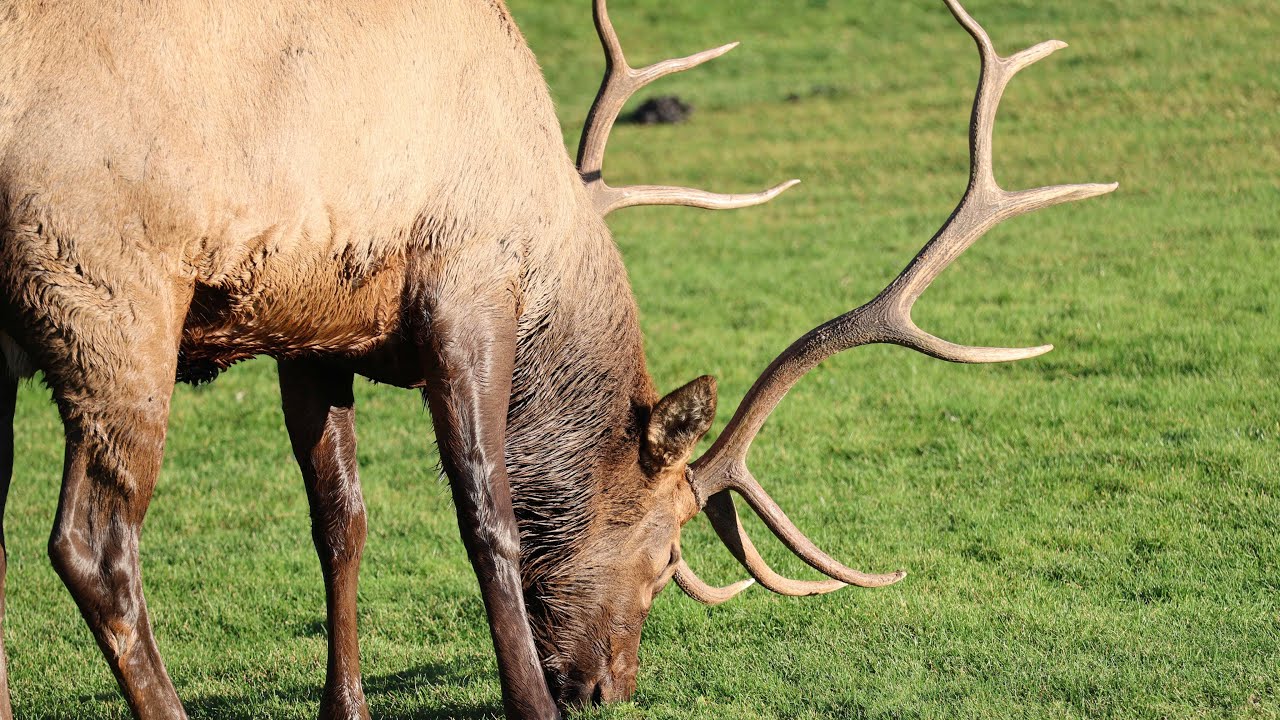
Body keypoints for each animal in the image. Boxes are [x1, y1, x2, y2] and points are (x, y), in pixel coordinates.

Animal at [0, 0, 1115, 718]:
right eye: (667, 556)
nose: (608, 688)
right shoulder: (465, 286)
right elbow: (485, 519)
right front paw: (527, 697)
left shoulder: (310, 319)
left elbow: (340, 522)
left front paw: (344, 705)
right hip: (108, 293)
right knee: (91, 546)